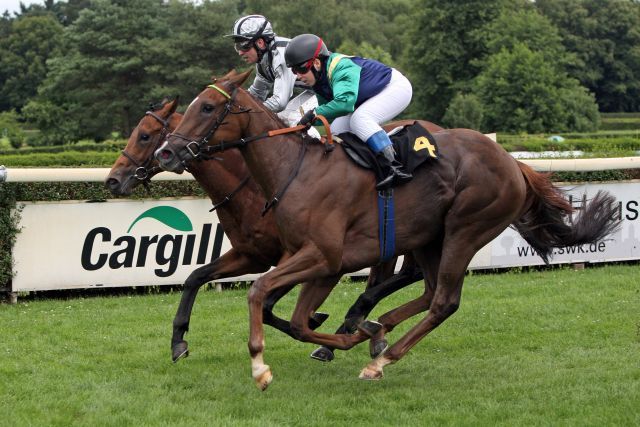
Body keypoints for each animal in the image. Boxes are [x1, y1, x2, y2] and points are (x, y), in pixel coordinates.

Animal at [106, 98, 440, 364]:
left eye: (144, 136)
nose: (112, 179)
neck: (253, 185)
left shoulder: (303, 256)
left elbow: (267, 305)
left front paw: (316, 320)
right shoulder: (251, 255)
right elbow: (195, 277)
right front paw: (179, 341)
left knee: (407, 275)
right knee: (393, 276)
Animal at [155, 71, 620, 392]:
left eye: (207, 108)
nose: (168, 151)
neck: (295, 170)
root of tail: (513, 162)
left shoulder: (322, 256)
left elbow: (260, 294)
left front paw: (261, 367)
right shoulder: (315, 262)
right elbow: (296, 319)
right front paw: (353, 333)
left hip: (466, 229)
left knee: (444, 301)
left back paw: (380, 358)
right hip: (430, 238)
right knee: (429, 293)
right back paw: (377, 331)